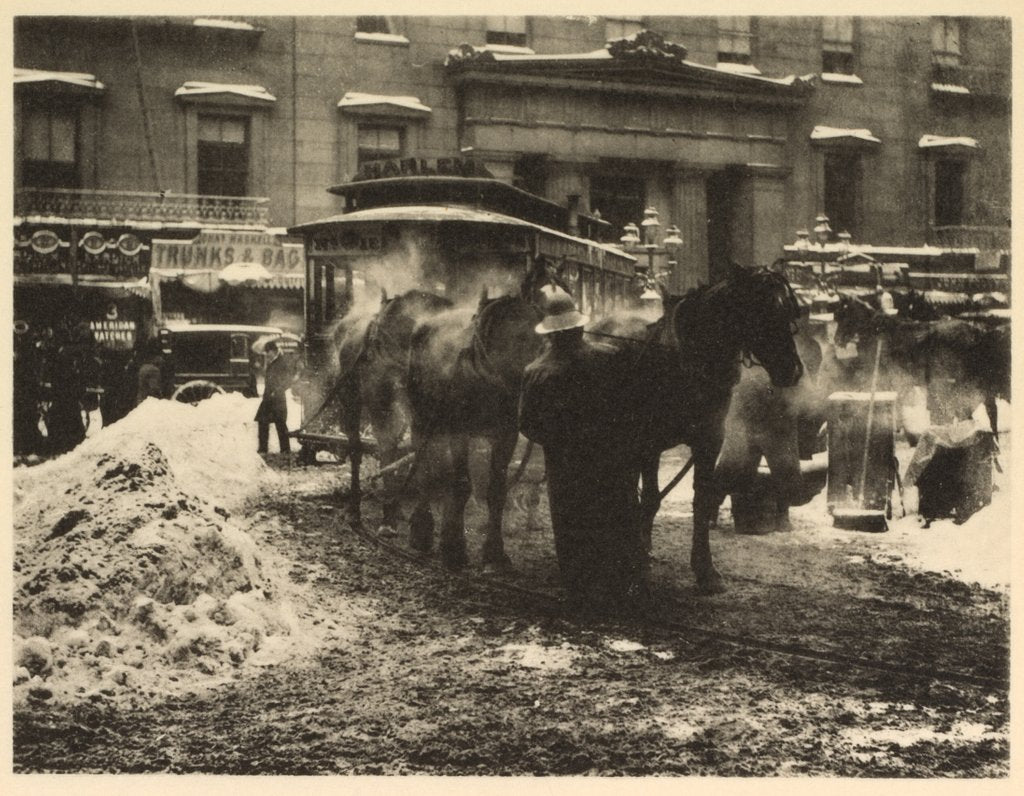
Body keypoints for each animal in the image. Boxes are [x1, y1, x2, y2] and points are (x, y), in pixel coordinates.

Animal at [331, 288, 452, 524]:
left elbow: (421, 447)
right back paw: (355, 510)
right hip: (348, 392)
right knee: (356, 444)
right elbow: (386, 443)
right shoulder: (379, 396)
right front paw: (388, 520)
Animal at [401, 284, 548, 565]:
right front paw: (454, 548)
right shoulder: (459, 431)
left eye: (543, 341)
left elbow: (496, 490)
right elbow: (461, 484)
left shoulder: (506, 435)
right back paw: (422, 530)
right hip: (422, 420)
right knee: (425, 469)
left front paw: (494, 553)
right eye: (519, 339)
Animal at [593, 264, 806, 594]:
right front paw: (640, 566)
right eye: (761, 311)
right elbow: (651, 499)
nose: (792, 370)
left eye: (788, 312)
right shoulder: (649, 444)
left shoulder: (709, 442)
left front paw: (705, 570)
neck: (685, 361)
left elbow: (702, 501)